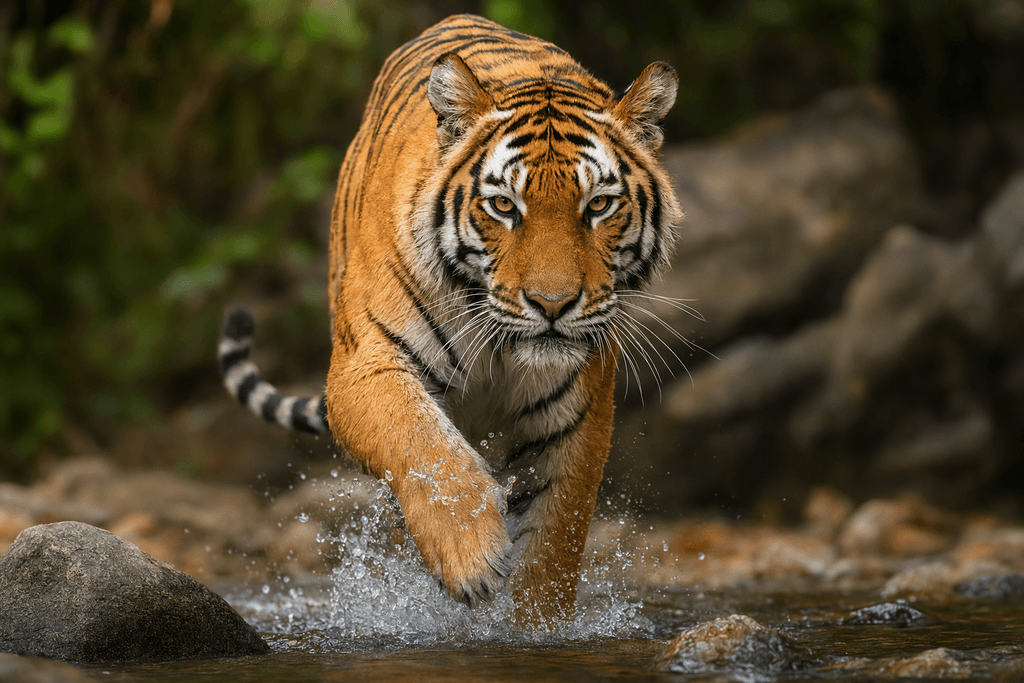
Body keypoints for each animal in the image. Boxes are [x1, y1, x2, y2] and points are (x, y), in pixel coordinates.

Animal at [218, 14, 681, 626]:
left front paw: (536, 626)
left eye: (599, 206)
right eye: (504, 206)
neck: (500, 347)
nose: (553, 305)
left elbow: (555, 537)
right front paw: (471, 557)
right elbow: (423, 444)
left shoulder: (575, 413)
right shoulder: (365, 366)